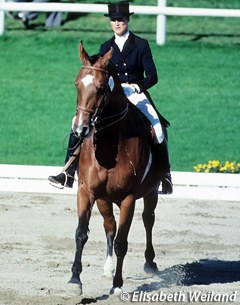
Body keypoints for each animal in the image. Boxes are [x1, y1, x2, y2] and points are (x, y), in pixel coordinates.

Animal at [69, 41, 163, 294]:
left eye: (101, 88)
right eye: (77, 84)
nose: (79, 130)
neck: (109, 146)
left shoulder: (128, 198)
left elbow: (123, 242)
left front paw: (118, 286)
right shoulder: (86, 191)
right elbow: (81, 233)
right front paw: (75, 280)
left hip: (151, 192)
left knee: (148, 219)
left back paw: (150, 263)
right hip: (103, 198)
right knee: (109, 226)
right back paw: (107, 268)